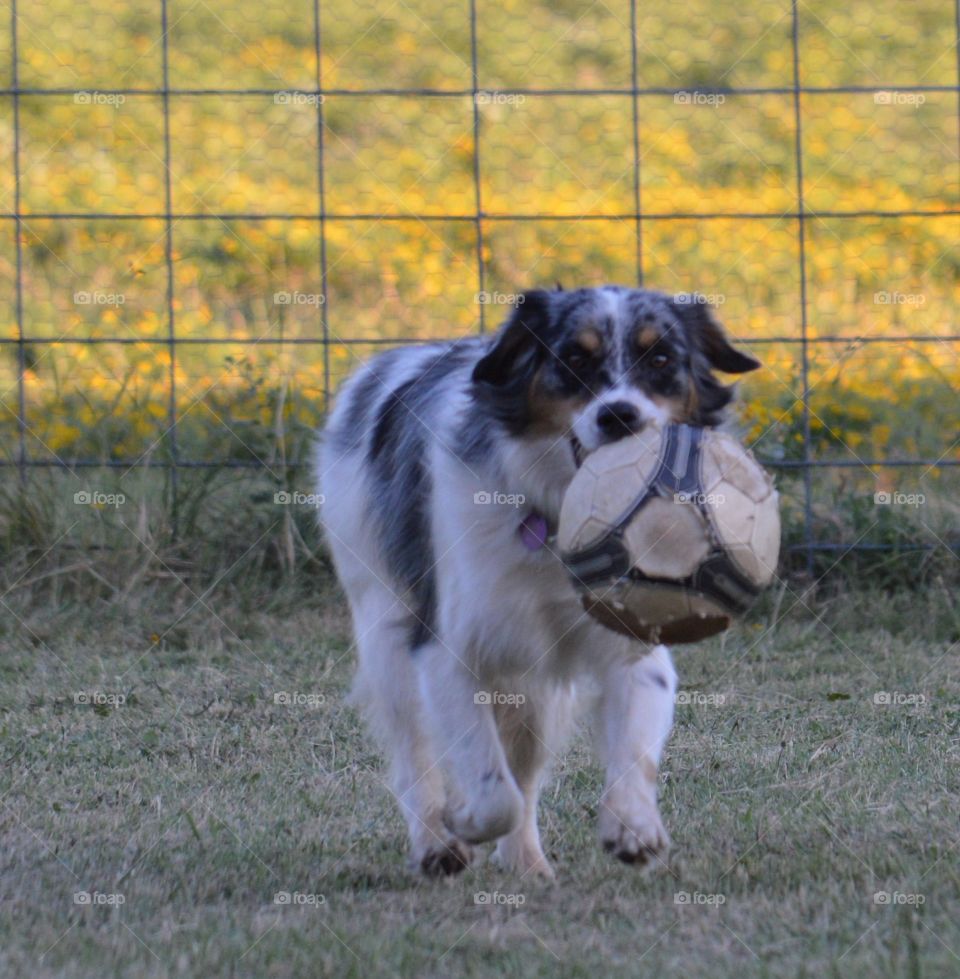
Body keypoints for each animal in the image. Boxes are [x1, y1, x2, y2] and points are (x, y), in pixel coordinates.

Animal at [316, 284, 756, 880]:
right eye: (573, 358)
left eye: (662, 359)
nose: (620, 416)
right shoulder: (444, 649)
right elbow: (491, 788)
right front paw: (461, 825)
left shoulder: (632, 641)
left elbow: (630, 749)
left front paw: (632, 825)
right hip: (384, 628)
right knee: (415, 753)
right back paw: (435, 844)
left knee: (523, 769)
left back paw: (527, 866)